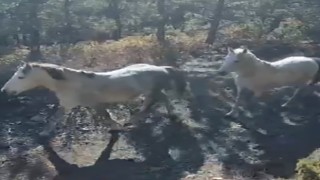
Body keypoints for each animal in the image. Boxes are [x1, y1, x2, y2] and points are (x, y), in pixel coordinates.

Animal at [1, 62, 186, 133]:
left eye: (20, 77)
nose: (4, 91)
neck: (69, 83)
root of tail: (160, 67)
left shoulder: (95, 104)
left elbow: (106, 117)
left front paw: (117, 128)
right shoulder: (66, 105)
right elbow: (54, 119)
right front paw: (43, 133)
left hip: (153, 91)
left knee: (155, 102)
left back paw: (133, 121)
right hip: (150, 92)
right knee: (158, 101)